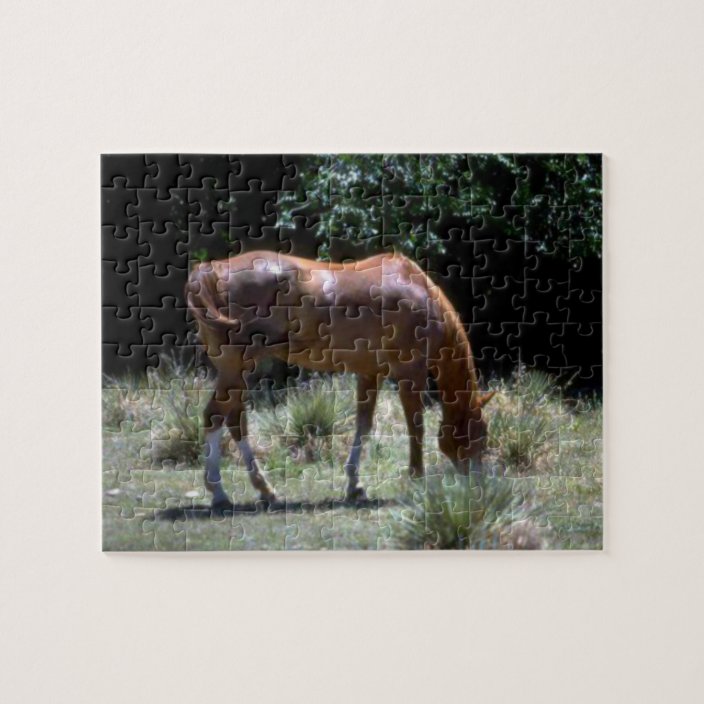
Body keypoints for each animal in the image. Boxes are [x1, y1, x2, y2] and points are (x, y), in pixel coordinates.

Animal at [185, 250, 494, 509]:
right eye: (479, 433)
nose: (477, 486)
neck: (417, 289)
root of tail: (211, 270)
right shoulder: (411, 374)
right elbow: (415, 427)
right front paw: (417, 480)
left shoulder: (370, 374)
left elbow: (364, 425)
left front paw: (355, 485)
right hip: (237, 369)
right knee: (216, 417)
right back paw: (221, 493)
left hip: (238, 372)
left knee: (233, 421)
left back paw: (263, 491)